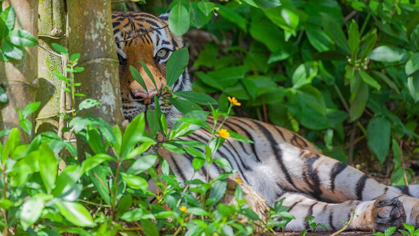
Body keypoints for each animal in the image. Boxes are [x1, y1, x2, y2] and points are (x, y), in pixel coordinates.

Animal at [112, 11, 419, 232]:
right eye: (117, 58)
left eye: (162, 54)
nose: (148, 97)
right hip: (289, 203)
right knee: (335, 211)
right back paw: (383, 213)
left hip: (318, 166)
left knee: (388, 192)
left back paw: (399, 209)